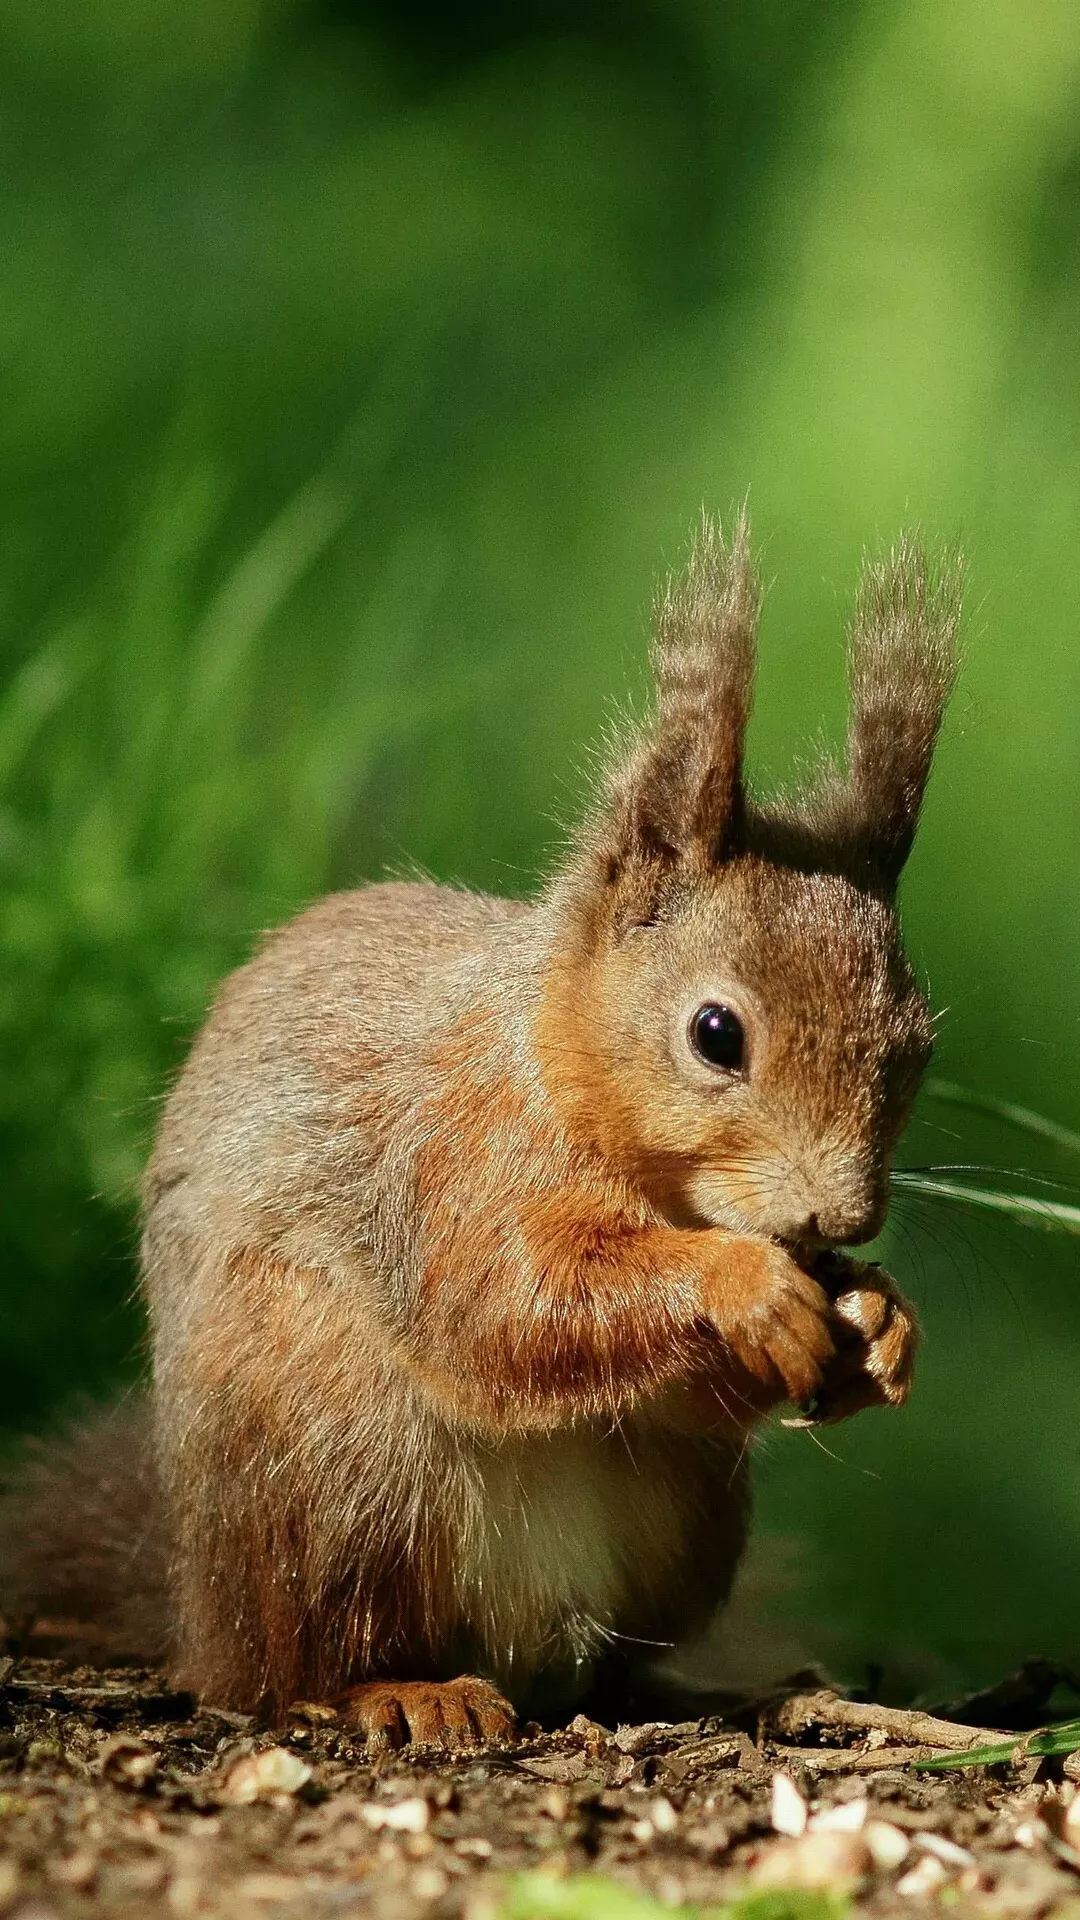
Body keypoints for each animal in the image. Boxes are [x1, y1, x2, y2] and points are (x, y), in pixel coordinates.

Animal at [2, 518, 957, 1751]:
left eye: (918, 1042)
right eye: (715, 1034)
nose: (843, 1216)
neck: (555, 1068)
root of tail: (196, 1606)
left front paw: (880, 1320)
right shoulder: (449, 1160)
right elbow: (504, 1304)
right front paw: (742, 1284)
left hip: (683, 1515)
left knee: (614, 1651)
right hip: (329, 1452)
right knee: (286, 1668)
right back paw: (402, 1688)